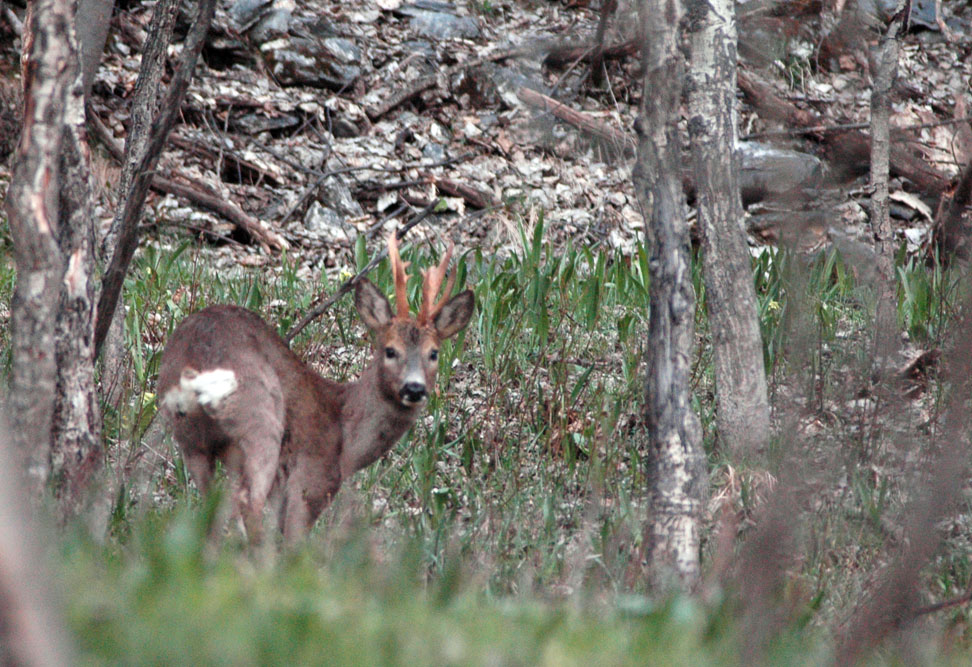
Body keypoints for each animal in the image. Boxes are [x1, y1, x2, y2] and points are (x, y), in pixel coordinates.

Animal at [158, 236, 472, 544]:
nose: (414, 388)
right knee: (249, 502)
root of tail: (200, 358)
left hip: (190, 438)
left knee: (210, 512)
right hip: (259, 420)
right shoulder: (311, 480)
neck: (347, 438)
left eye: (433, 353)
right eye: (390, 350)